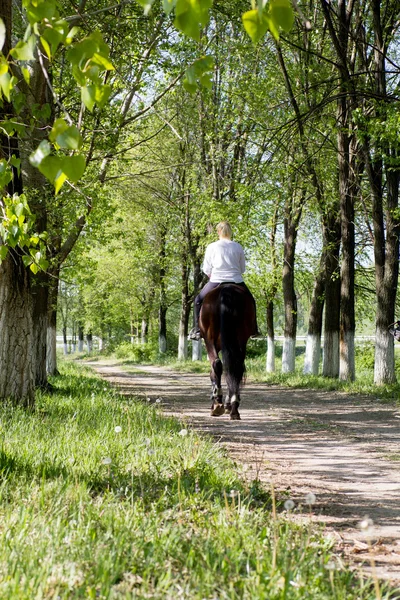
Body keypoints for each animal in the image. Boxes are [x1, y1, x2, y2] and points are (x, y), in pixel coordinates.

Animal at [199, 284, 256, 420]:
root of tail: (227, 289)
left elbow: (214, 372)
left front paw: (217, 402)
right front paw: (228, 404)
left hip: (209, 338)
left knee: (217, 364)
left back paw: (218, 404)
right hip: (241, 338)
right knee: (237, 368)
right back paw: (234, 408)